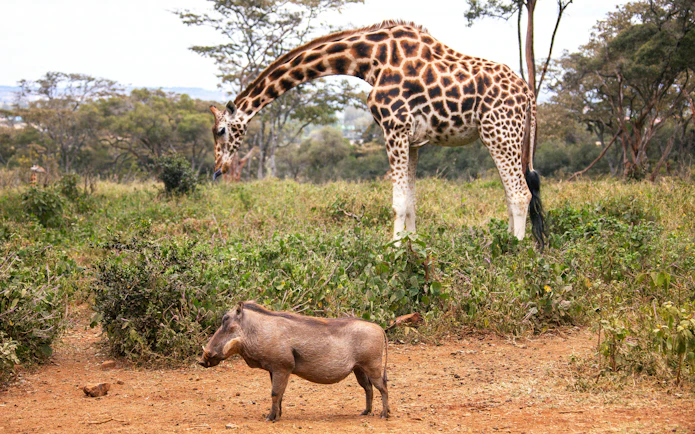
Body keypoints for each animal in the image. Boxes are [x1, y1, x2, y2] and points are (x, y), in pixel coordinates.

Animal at [210, 20, 545, 246]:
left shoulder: (393, 128)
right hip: (510, 136)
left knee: (520, 193)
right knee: (513, 192)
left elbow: (398, 202)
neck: (368, 60)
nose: (218, 169)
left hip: (499, 132)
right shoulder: (413, 140)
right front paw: (412, 247)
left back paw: (513, 250)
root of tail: (528, 94)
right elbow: (410, 201)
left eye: (221, 130)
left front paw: (393, 252)